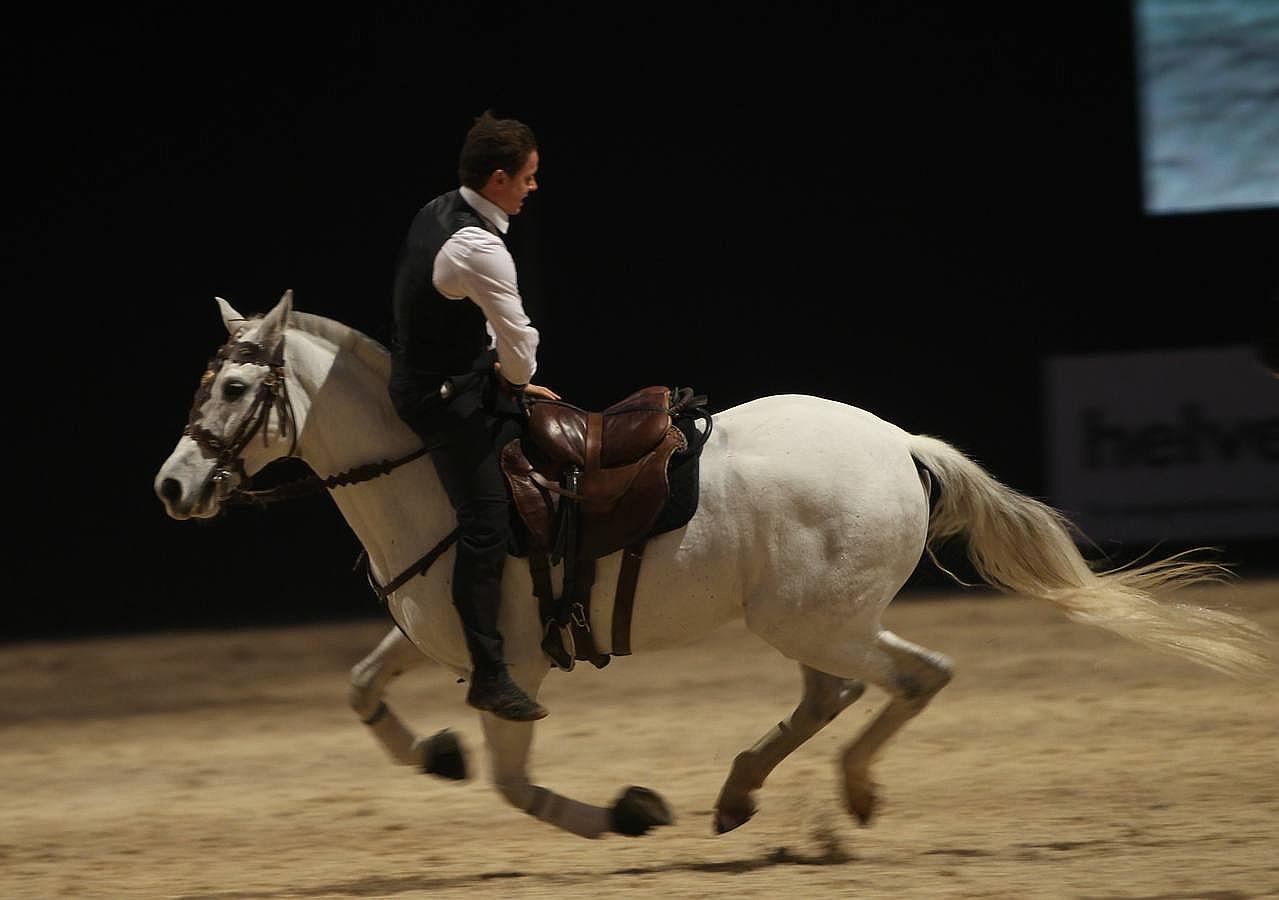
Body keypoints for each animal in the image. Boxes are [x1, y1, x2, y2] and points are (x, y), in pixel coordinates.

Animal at [154, 291, 1273, 838]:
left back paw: (841, 795)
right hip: (819, 622)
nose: (172, 486)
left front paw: (627, 814)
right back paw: (743, 794)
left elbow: (515, 785)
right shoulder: (444, 637)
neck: (435, 470)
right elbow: (359, 689)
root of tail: (899, 444)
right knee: (838, 692)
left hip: (815, 619)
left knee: (912, 678)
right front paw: (432, 754)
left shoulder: (509, 671)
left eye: (236, 388)